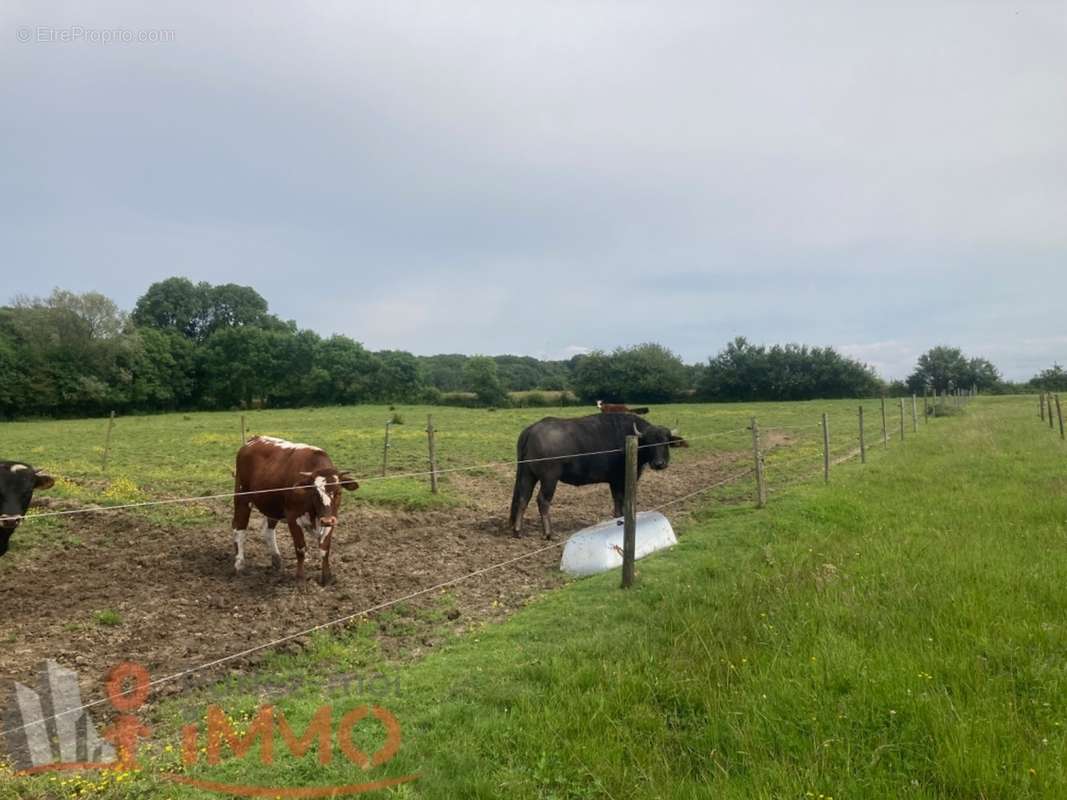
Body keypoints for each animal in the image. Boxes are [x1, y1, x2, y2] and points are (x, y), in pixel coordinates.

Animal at [232, 435, 358, 584]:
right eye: (314, 493)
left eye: (339, 492)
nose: (326, 520)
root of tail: (254, 439)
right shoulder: (293, 517)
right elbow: (300, 548)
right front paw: (300, 578)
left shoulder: (331, 517)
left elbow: (325, 548)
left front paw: (327, 577)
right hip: (242, 497)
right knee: (239, 529)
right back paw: (239, 564)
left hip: (273, 505)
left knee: (268, 530)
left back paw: (276, 559)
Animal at [505, 413, 687, 539]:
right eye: (649, 442)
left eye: (666, 441)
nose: (659, 463)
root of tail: (531, 430)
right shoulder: (620, 479)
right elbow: (621, 500)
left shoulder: (613, 481)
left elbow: (617, 501)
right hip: (549, 478)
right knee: (542, 500)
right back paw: (548, 533)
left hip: (527, 474)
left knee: (523, 498)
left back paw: (518, 531)